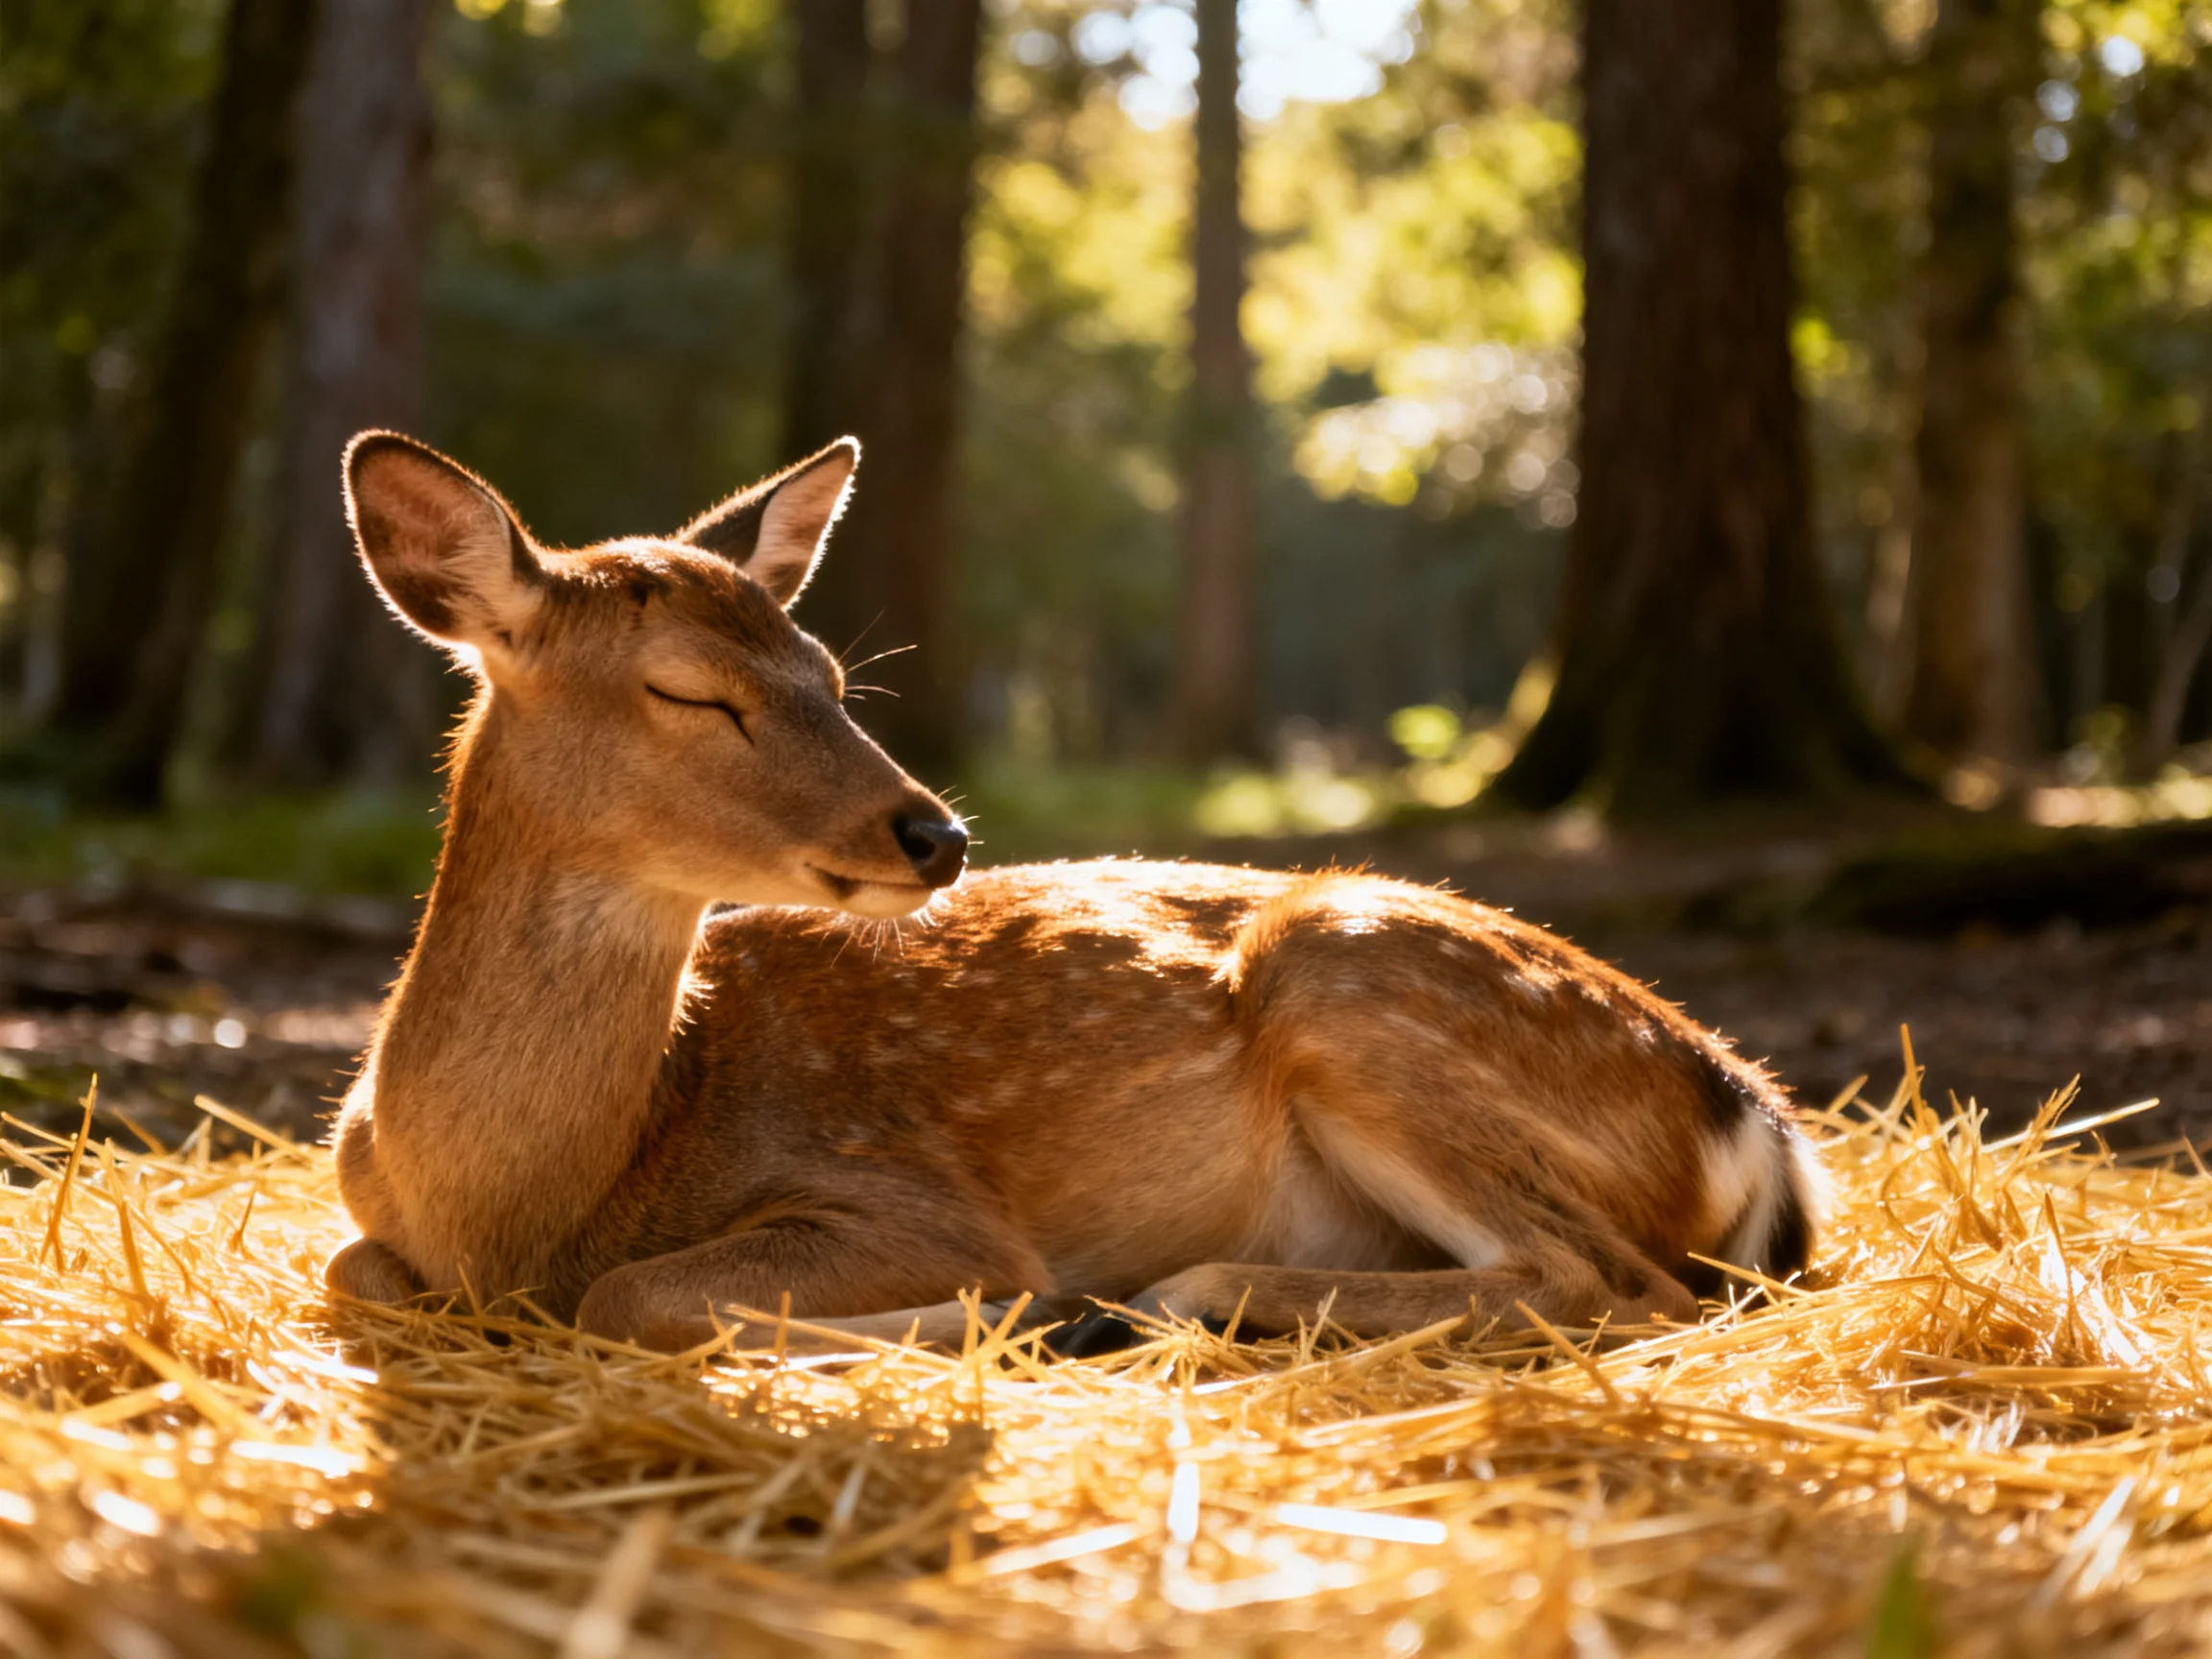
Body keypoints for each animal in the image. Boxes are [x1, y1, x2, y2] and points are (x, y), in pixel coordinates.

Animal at [324, 430, 1827, 1358]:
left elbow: (629, 1296)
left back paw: (1161, 1303)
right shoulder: (363, 1219)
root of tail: (1757, 1122)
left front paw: (1022, 1317)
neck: (519, 1207)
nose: (933, 833)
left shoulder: (912, 1204)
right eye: (691, 691)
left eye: (830, 671)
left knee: (1616, 1284)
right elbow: (352, 1270)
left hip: (1347, 970)